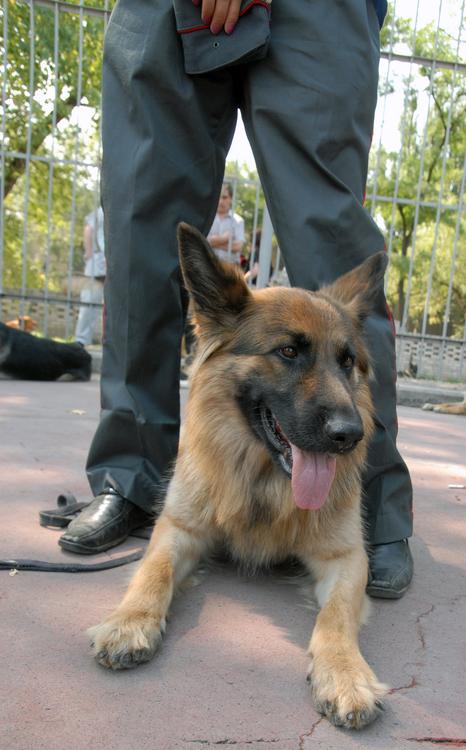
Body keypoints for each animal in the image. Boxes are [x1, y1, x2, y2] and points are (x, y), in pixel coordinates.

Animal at [89, 223, 388, 728]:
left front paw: (345, 673)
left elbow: (336, 616)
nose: (351, 435)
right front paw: (129, 622)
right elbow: (153, 572)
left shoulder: (346, 559)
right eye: (288, 351)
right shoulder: (179, 529)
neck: (263, 480)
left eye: (347, 362)